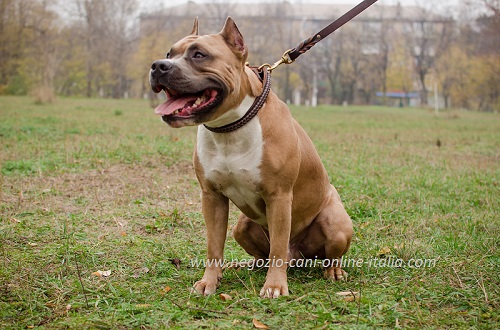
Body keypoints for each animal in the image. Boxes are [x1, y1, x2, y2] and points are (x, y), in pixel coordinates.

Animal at [148, 16, 352, 298]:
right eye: (169, 54)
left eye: (199, 55)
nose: (158, 66)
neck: (229, 128)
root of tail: (298, 257)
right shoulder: (212, 197)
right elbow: (213, 246)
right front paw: (209, 281)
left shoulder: (279, 197)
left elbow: (278, 247)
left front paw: (275, 286)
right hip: (241, 227)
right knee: (262, 255)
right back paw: (248, 266)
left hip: (335, 224)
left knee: (322, 255)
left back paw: (333, 271)